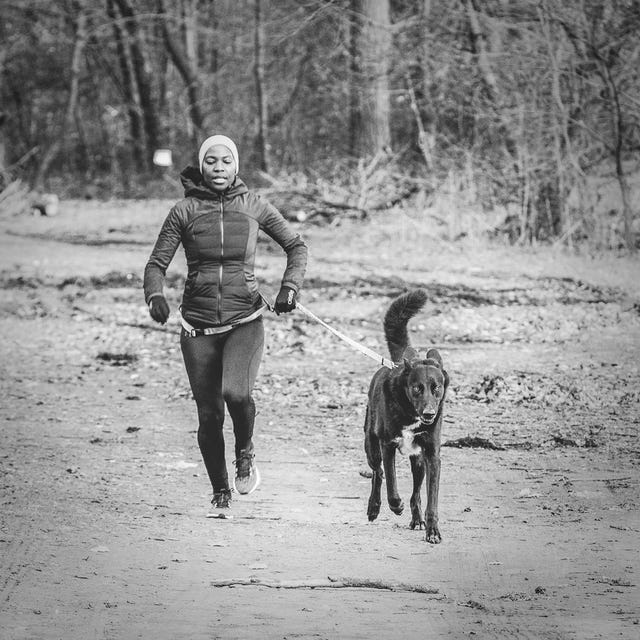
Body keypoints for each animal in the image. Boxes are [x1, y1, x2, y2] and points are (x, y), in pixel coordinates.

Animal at [362, 290, 448, 544]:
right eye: (417, 388)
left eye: (437, 388)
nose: (429, 413)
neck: (410, 413)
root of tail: (400, 361)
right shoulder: (387, 445)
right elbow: (390, 481)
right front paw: (395, 505)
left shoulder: (432, 455)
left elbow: (431, 499)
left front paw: (432, 530)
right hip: (371, 446)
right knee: (378, 473)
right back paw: (374, 507)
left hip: (418, 461)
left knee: (416, 493)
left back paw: (417, 519)